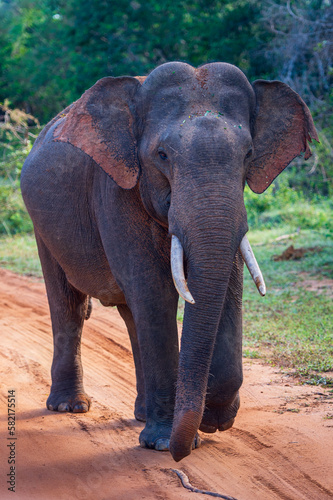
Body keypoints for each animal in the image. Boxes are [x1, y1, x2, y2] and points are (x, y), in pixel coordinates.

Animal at [20, 61, 316, 460]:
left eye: (249, 155)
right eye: (161, 155)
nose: (180, 453)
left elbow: (224, 287)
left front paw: (213, 421)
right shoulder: (116, 190)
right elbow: (155, 293)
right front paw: (164, 442)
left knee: (130, 314)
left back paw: (141, 414)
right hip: (42, 225)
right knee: (69, 303)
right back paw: (71, 406)